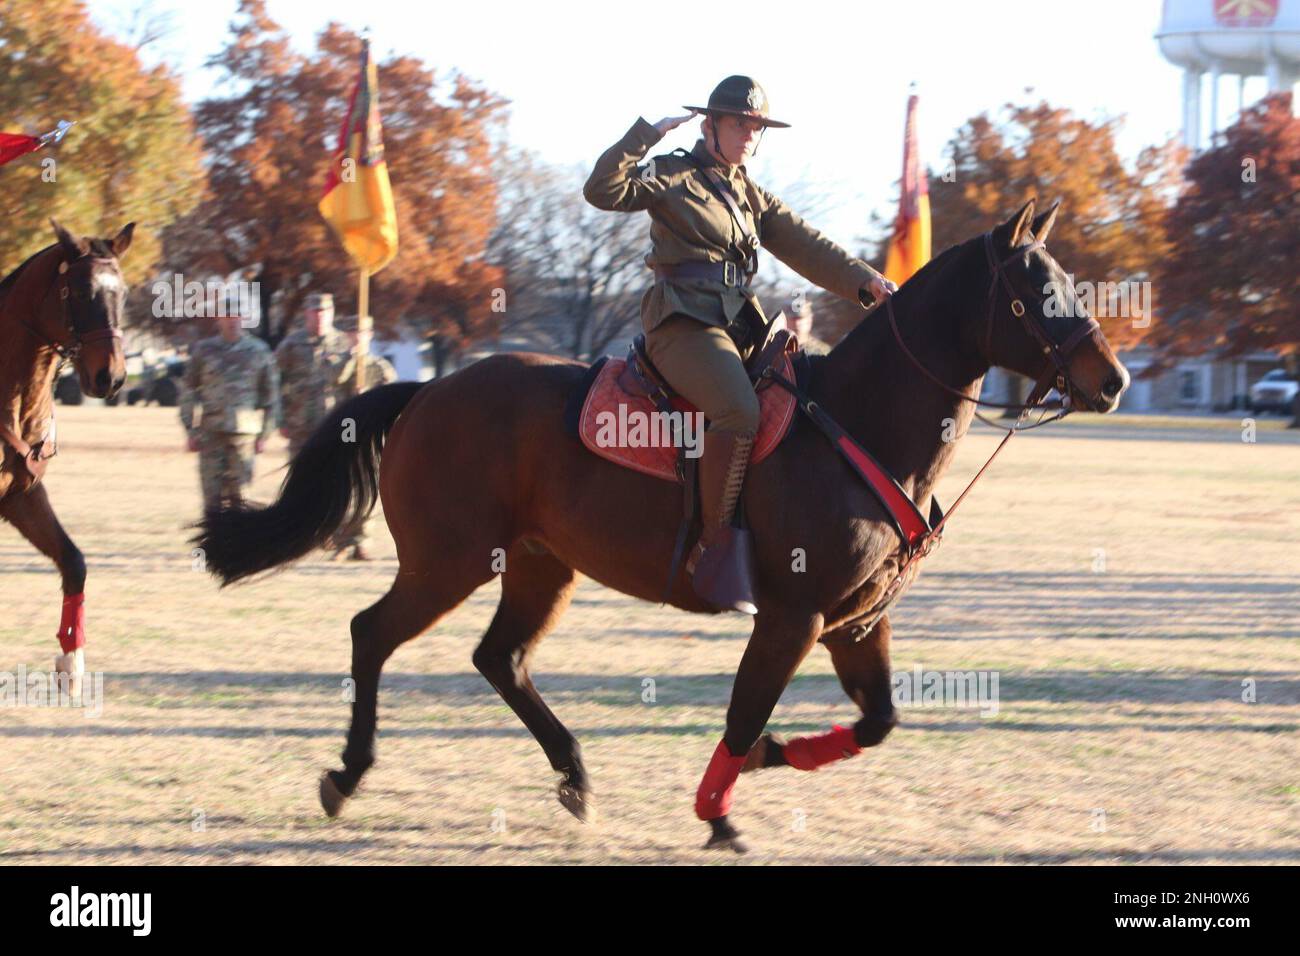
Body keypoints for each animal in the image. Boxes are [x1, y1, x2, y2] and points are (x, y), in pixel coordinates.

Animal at [0, 221, 133, 691]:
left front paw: (71, 660)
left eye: (122, 292)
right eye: (77, 291)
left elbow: (73, 561)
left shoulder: (22, 495)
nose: (111, 377)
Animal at [192, 201, 1128, 853]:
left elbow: (875, 723)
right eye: (1036, 289)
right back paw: (349, 774)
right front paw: (720, 810)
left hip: (539, 565)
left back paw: (573, 775)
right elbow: (747, 711)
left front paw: (769, 761)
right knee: (372, 635)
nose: (1113, 379)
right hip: (448, 563)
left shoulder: (857, 623)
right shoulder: (792, 618)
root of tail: (428, 389)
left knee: (500, 659)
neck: (859, 423)